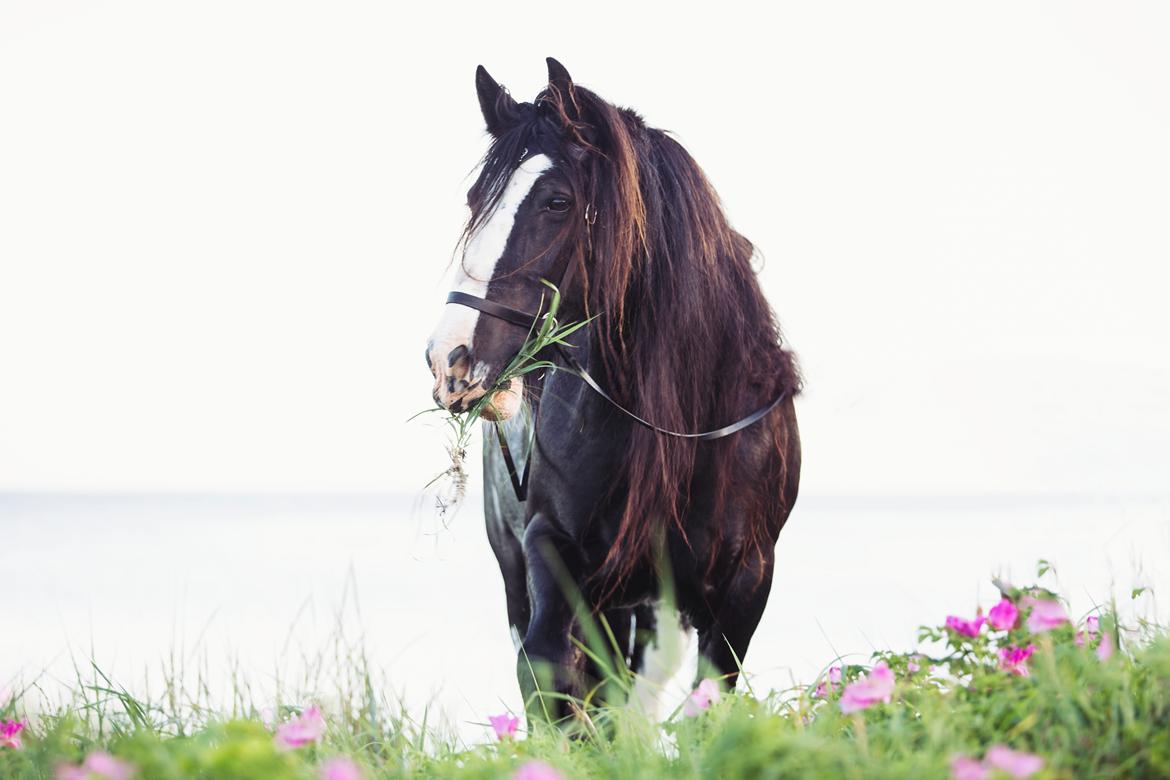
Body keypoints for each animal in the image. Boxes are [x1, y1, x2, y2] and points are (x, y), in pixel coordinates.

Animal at [425, 57, 800, 725]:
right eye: (475, 201)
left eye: (557, 201)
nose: (450, 360)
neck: (683, 422)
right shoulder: (553, 552)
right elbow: (552, 679)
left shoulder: (745, 579)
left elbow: (709, 699)